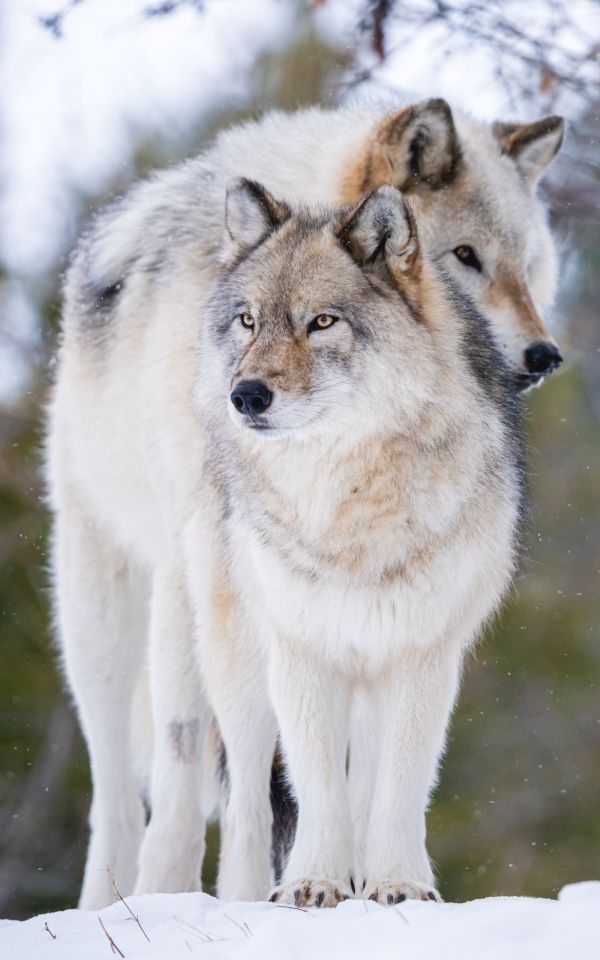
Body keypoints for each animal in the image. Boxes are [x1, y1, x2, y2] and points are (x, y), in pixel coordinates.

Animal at [47, 99, 564, 908]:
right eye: (466, 256)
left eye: (529, 267)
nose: (544, 357)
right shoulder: (219, 576)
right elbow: (205, 756)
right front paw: (191, 890)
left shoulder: (400, 627)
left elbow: (371, 772)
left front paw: (372, 878)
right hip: (107, 611)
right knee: (136, 780)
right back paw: (130, 898)